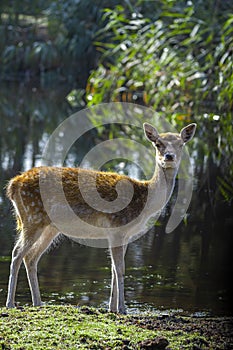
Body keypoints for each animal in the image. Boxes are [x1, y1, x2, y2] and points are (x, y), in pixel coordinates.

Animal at [5, 121, 196, 314]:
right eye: (158, 144)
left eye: (181, 144)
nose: (169, 157)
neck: (145, 201)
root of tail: (13, 185)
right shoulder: (117, 228)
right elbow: (120, 269)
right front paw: (122, 309)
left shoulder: (124, 235)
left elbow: (113, 269)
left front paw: (112, 308)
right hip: (32, 218)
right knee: (17, 253)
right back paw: (10, 303)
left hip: (49, 227)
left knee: (31, 257)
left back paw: (38, 302)